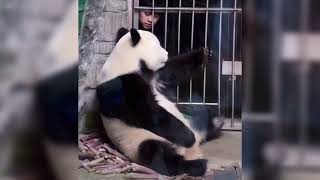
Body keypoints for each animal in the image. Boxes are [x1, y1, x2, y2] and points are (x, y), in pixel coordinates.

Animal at [96, 27, 224, 176]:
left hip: (192, 120)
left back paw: (215, 123)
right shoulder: (122, 86)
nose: (167, 53)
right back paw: (196, 164)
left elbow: (175, 69)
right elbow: (148, 114)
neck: (125, 62)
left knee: (202, 116)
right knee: (157, 153)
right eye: (158, 45)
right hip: (139, 141)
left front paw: (204, 54)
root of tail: (192, 151)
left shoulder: (157, 75)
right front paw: (188, 137)